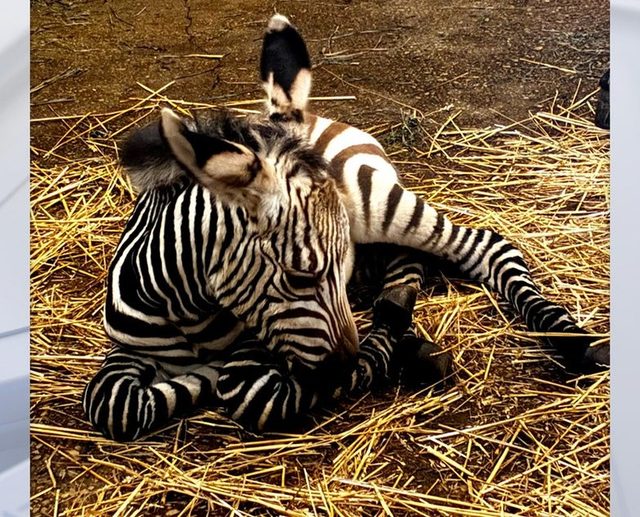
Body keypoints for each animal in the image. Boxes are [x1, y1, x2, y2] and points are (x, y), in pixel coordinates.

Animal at [83, 107, 440, 441]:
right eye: (299, 278)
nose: (345, 365)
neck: (186, 309)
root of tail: (320, 118)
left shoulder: (259, 339)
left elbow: (249, 391)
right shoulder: (129, 349)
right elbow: (113, 403)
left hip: (375, 208)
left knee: (420, 244)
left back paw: (398, 302)